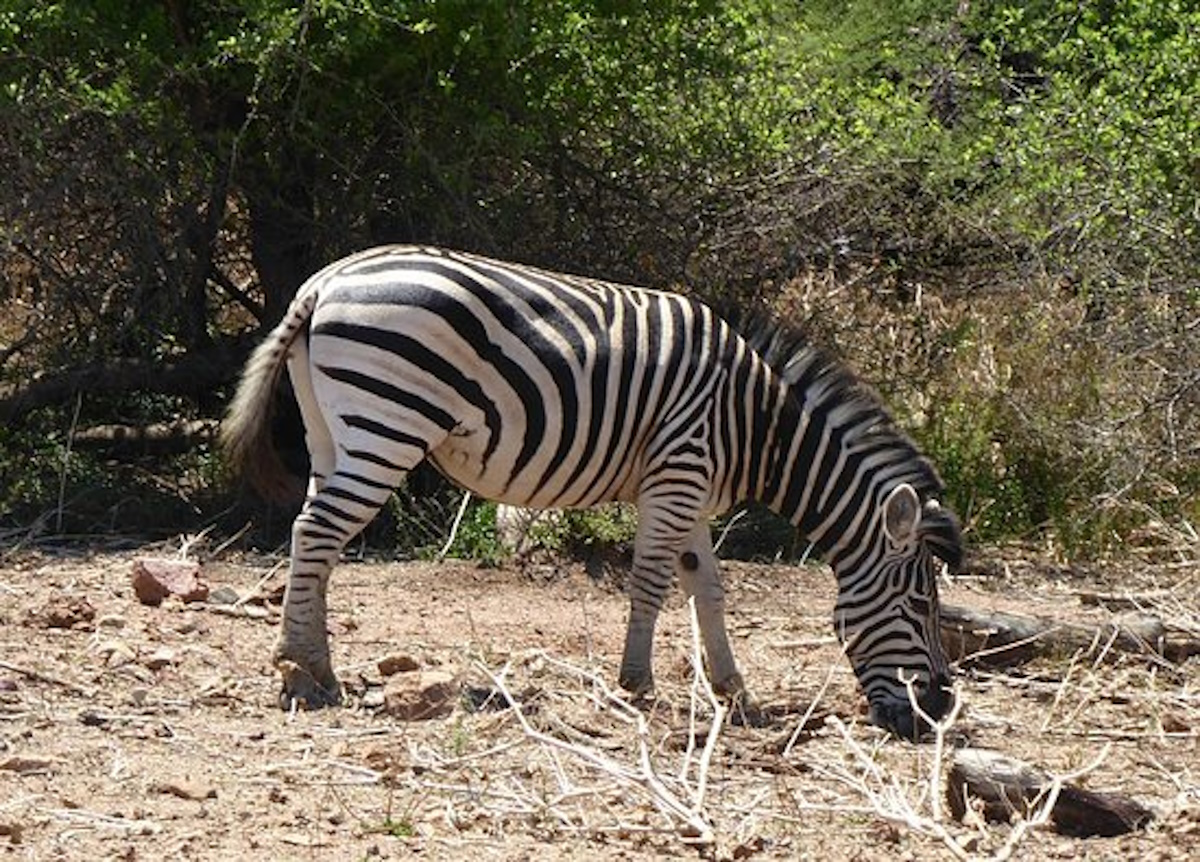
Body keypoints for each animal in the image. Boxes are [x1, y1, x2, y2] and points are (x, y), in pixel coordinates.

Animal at [220, 246, 960, 739]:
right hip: (390, 419)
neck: (755, 426)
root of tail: (324, 282)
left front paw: (734, 690)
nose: (941, 710)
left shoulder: (690, 488)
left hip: (333, 429)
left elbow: (708, 588)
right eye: (920, 605)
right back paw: (300, 667)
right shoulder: (678, 472)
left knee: (316, 537)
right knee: (316, 531)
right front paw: (637, 683)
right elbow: (653, 582)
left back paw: (317, 669)